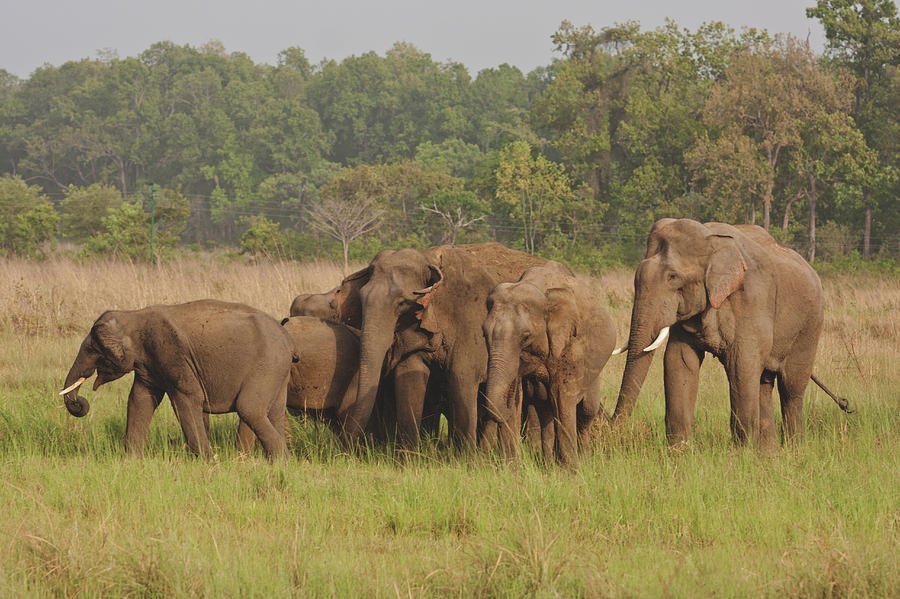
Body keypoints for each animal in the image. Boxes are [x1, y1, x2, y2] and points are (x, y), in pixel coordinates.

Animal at [60, 299, 294, 459]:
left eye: (92, 349)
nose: (80, 403)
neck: (133, 315)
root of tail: (286, 337)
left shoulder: (171, 352)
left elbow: (188, 399)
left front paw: (210, 461)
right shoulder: (149, 363)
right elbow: (139, 400)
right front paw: (131, 460)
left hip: (267, 365)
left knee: (249, 408)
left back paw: (281, 461)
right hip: (278, 371)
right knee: (274, 412)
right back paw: (277, 462)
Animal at [346, 242, 545, 450]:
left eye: (401, 303)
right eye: (360, 298)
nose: (352, 445)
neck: (429, 257)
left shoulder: (471, 320)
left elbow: (461, 378)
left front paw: (466, 456)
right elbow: (409, 378)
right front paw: (410, 456)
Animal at [481, 261, 617, 464]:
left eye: (525, 336)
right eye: (484, 333)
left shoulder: (570, 347)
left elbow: (562, 398)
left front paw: (571, 469)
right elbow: (521, 396)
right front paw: (512, 467)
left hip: (594, 371)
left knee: (586, 410)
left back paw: (584, 458)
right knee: (545, 411)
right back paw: (548, 463)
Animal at [612, 218, 829, 449]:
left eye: (673, 277)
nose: (612, 432)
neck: (710, 237)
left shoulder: (752, 300)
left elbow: (741, 364)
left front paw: (742, 452)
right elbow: (679, 361)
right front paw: (680, 450)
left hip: (810, 326)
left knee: (791, 387)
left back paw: (793, 449)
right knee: (764, 384)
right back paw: (768, 453)